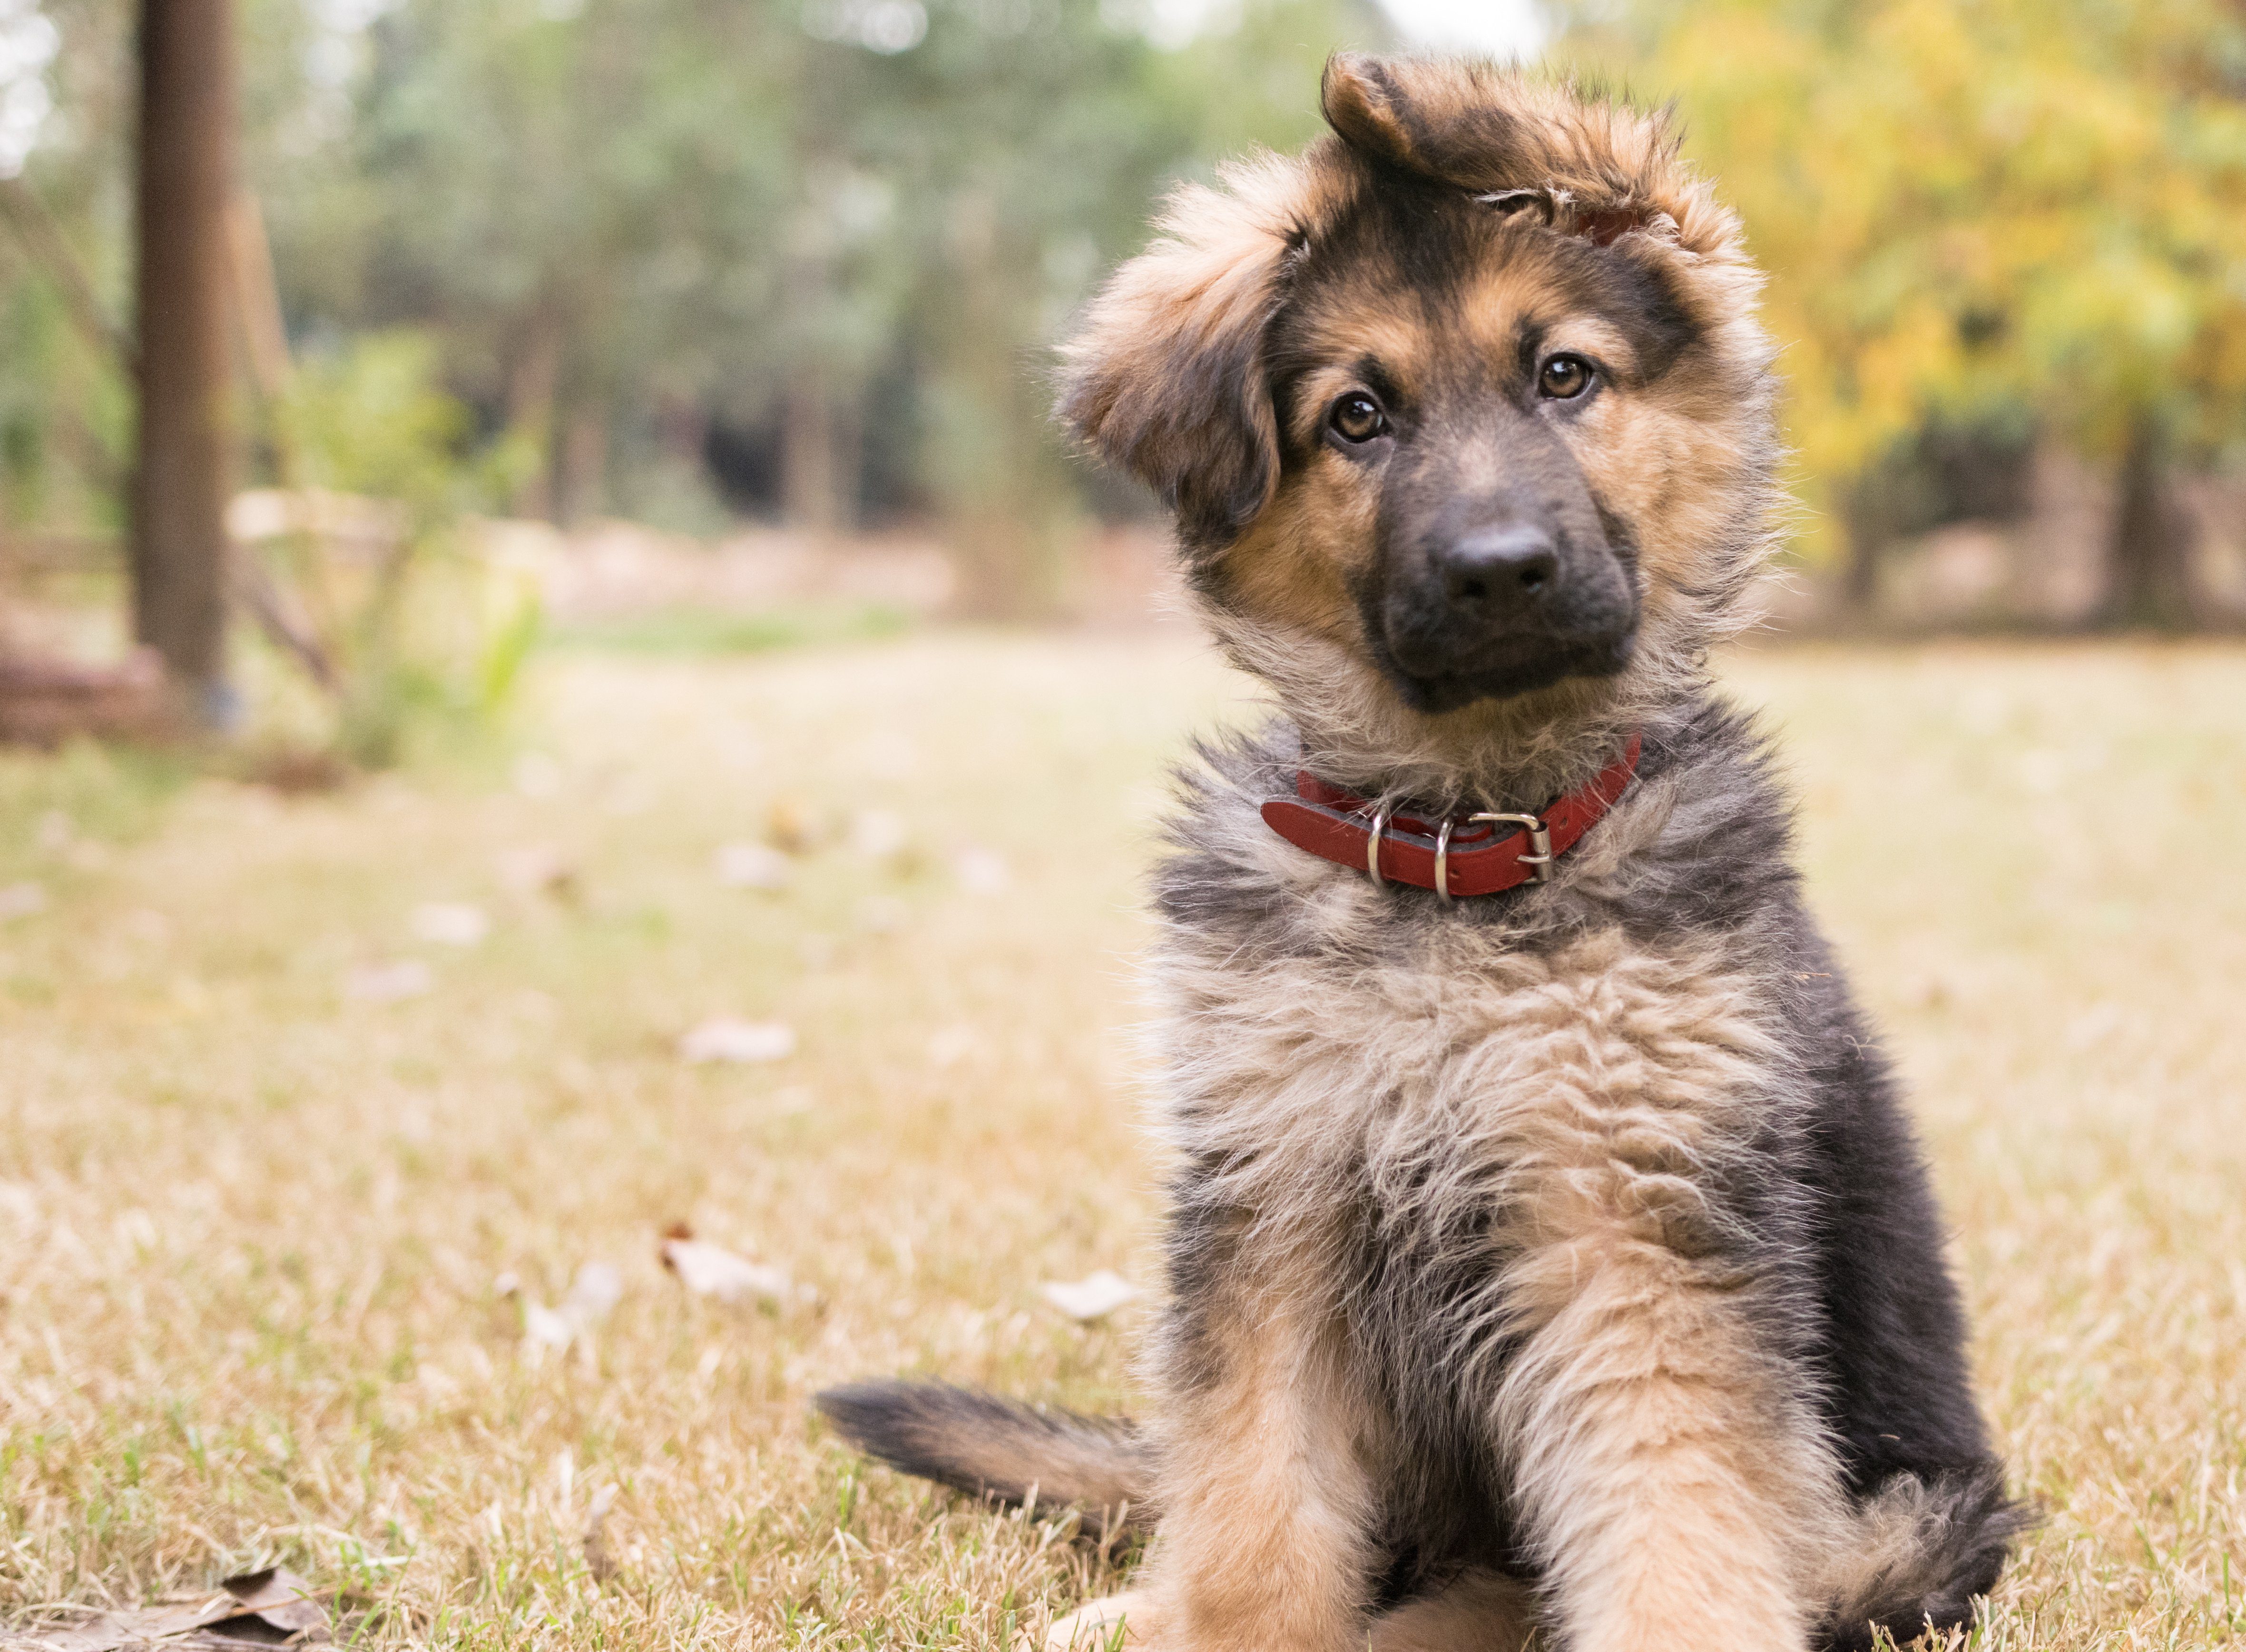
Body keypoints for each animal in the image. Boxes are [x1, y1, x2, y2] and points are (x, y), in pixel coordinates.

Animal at [817, 55, 2030, 1652]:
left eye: (1565, 376)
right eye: (1357, 417)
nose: (1500, 572)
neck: (1459, 850)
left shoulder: (1626, 1223)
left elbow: (1671, 1521)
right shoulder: (1275, 1202)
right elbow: (1254, 1505)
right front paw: (1224, 1623)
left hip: (1906, 1527)